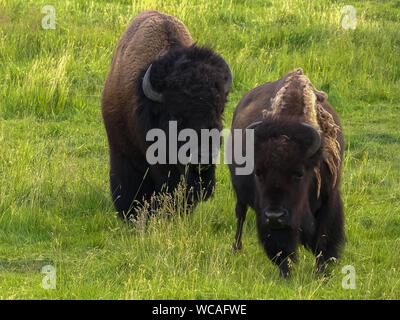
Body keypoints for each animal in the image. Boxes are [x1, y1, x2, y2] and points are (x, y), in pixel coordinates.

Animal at [230, 68, 346, 278]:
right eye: (258, 172)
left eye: (299, 173)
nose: (275, 216)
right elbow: (281, 248)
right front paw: (286, 275)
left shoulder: (329, 199)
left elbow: (324, 241)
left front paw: (322, 275)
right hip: (241, 196)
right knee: (240, 215)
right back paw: (236, 248)